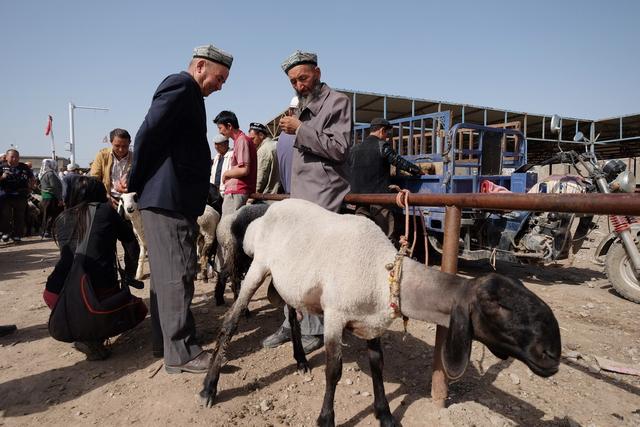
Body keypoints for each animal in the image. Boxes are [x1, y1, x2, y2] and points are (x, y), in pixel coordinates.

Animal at [200, 199, 560, 426]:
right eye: (498, 306)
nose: (552, 355)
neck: (381, 272)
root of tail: (263, 213)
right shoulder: (336, 314)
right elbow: (334, 371)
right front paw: (326, 419)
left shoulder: (372, 324)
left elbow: (377, 365)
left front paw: (385, 414)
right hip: (256, 266)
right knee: (230, 322)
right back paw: (209, 388)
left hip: (290, 281)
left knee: (290, 315)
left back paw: (300, 360)